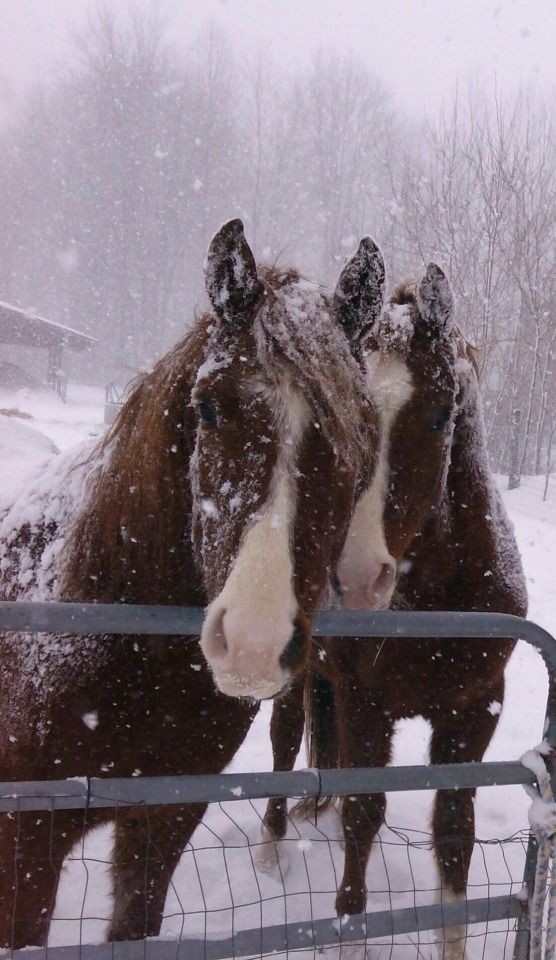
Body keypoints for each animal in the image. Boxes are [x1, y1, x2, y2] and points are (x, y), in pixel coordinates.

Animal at [260, 262, 524, 960]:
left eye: (440, 414)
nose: (356, 576)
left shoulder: (476, 708)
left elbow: (455, 828)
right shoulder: (365, 703)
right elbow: (363, 813)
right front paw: (351, 933)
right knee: (283, 742)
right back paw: (270, 849)